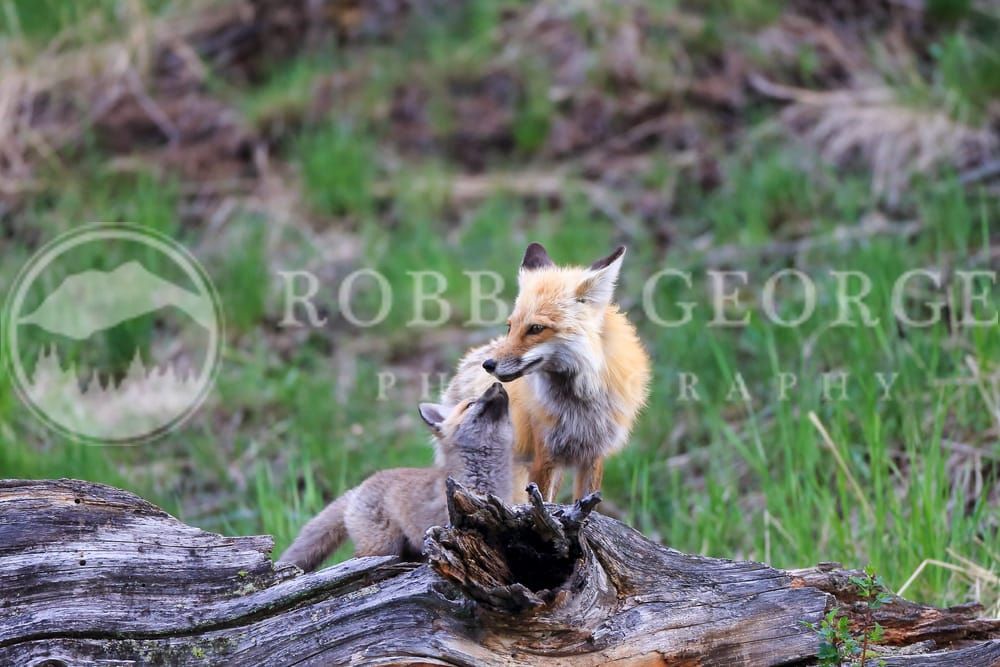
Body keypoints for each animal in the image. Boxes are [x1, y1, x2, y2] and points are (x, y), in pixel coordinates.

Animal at [444, 243, 650, 502]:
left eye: (536, 328)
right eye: (510, 327)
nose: (488, 364)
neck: (580, 407)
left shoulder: (593, 457)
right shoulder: (545, 456)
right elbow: (540, 504)